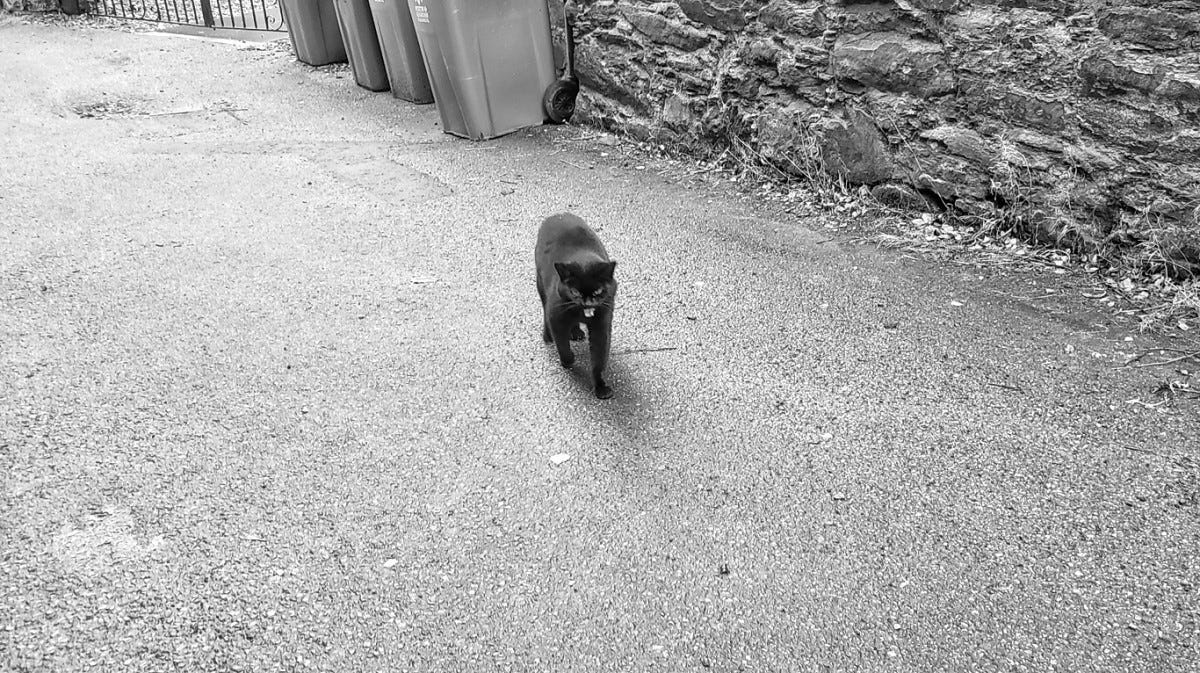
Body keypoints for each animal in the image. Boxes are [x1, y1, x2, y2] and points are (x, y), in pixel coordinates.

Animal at [535, 212, 619, 395]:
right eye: (575, 292)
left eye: (598, 291)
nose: (587, 301)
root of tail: (558, 215)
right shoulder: (556, 316)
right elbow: (562, 344)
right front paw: (568, 361)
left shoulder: (602, 324)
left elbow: (599, 358)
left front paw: (601, 387)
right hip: (540, 283)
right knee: (544, 309)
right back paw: (548, 336)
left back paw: (576, 332)